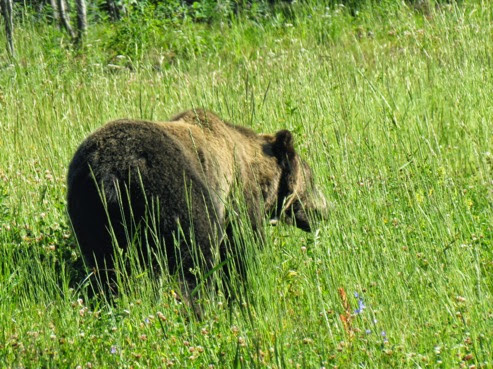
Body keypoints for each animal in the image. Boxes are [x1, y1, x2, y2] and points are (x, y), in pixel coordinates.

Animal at [66, 108, 326, 290]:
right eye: (312, 178)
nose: (325, 210)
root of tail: (110, 172)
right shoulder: (237, 195)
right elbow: (242, 244)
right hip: (172, 191)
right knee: (194, 256)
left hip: (89, 209)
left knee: (104, 265)